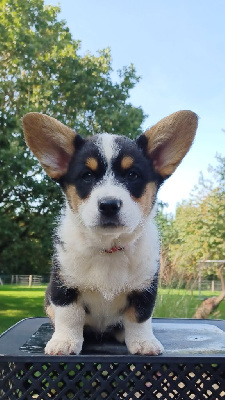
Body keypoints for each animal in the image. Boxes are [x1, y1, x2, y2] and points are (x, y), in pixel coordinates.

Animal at [22, 110, 197, 356]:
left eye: (132, 175)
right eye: (87, 176)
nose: (109, 205)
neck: (108, 247)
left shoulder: (145, 287)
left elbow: (140, 317)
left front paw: (143, 342)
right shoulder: (63, 286)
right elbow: (69, 315)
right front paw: (64, 342)